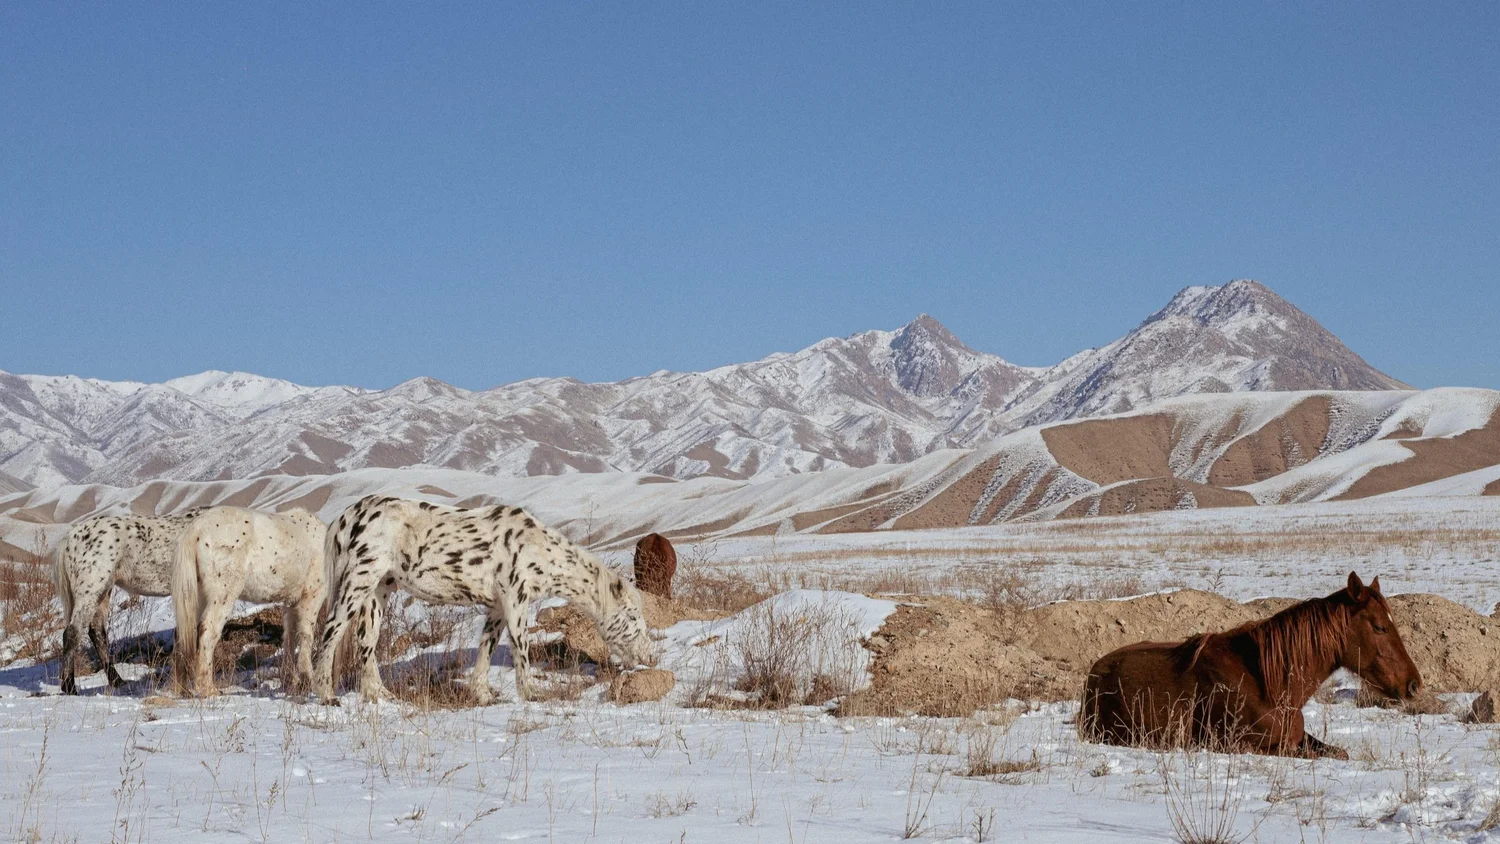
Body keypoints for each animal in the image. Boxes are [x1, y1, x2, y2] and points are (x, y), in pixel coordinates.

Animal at [52, 509, 205, 694]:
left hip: (103, 591)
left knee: (97, 632)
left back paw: (117, 681)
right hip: (91, 589)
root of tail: (70, 539)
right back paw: (70, 687)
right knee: (72, 633)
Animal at [171, 507, 327, 697]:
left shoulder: (291, 601)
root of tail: (196, 530)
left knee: (183, 632)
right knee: (208, 631)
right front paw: (307, 679)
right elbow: (305, 634)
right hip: (223, 593)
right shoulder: (312, 594)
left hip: (196, 595)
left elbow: (290, 636)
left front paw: (291, 680)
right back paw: (207, 688)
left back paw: (181, 689)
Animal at [311, 495, 655, 705]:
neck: (536, 547)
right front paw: (531, 694)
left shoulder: (498, 607)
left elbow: (486, 648)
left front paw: (483, 694)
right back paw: (326, 694)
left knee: (366, 642)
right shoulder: (516, 599)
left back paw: (380, 694)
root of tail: (346, 516)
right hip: (357, 583)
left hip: (378, 591)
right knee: (330, 633)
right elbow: (520, 649)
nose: (647, 658)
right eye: (633, 617)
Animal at [1079, 572, 1421, 759]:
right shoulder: (1240, 745)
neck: (1267, 684)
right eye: (1379, 627)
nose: (1414, 684)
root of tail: (1096, 672)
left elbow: (1340, 753)